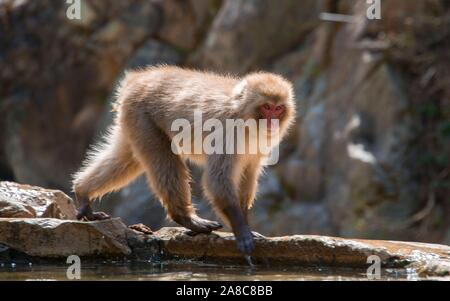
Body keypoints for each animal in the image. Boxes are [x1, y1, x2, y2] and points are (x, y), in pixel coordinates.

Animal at [73, 65, 296, 253]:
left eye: (278, 109)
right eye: (267, 107)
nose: (272, 123)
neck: (244, 118)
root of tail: (137, 79)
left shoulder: (257, 149)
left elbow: (247, 175)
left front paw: (246, 225)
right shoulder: (226, 132)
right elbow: (218, 180)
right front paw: (241, 230)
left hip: (132, 119)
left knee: (126, 158)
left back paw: (83, 192)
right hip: (142, 115)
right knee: (164, 161)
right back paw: (186, 218)